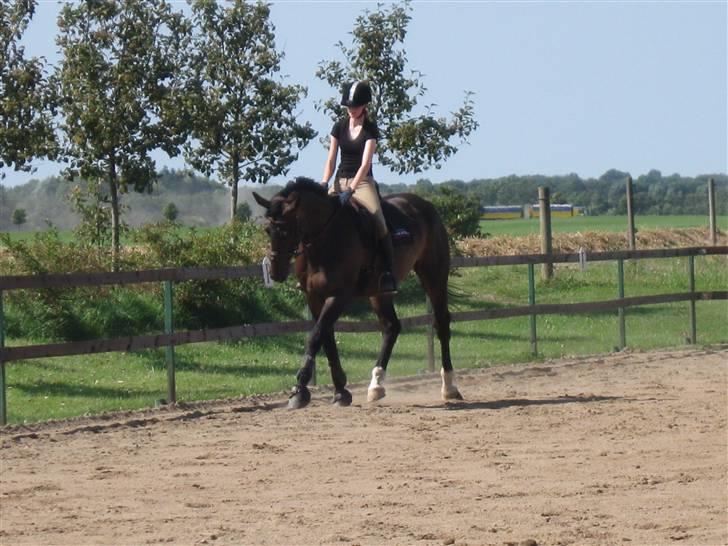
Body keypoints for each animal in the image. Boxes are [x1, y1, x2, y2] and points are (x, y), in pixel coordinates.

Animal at [253, 176, 464, 406]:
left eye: (285, 231)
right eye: (267, 230)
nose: (276, 272)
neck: (325, 239)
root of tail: (425, 204)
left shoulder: (339, 295)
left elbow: (316, 336)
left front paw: (300, 389)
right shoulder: (314, 297)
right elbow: (326, 338)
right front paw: (340, 391)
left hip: (433, 275)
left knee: (441, 323)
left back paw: (449, 386)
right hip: (380, 292)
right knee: (391, 327)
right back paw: (376, 385)